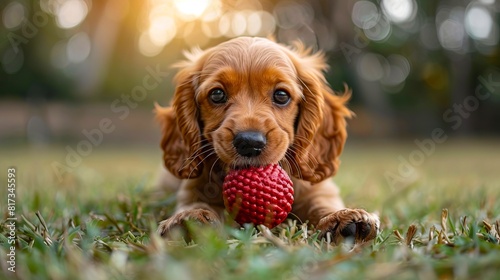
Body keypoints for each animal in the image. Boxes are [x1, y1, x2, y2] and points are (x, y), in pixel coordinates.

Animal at [156, 37, 378, 245]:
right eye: (217, 94)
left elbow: (321, 203)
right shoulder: (192, 190)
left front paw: (341, 218)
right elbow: (195, 203)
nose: (249, 143)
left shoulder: (319, 189)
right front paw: (188, 219)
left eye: (281, 95)